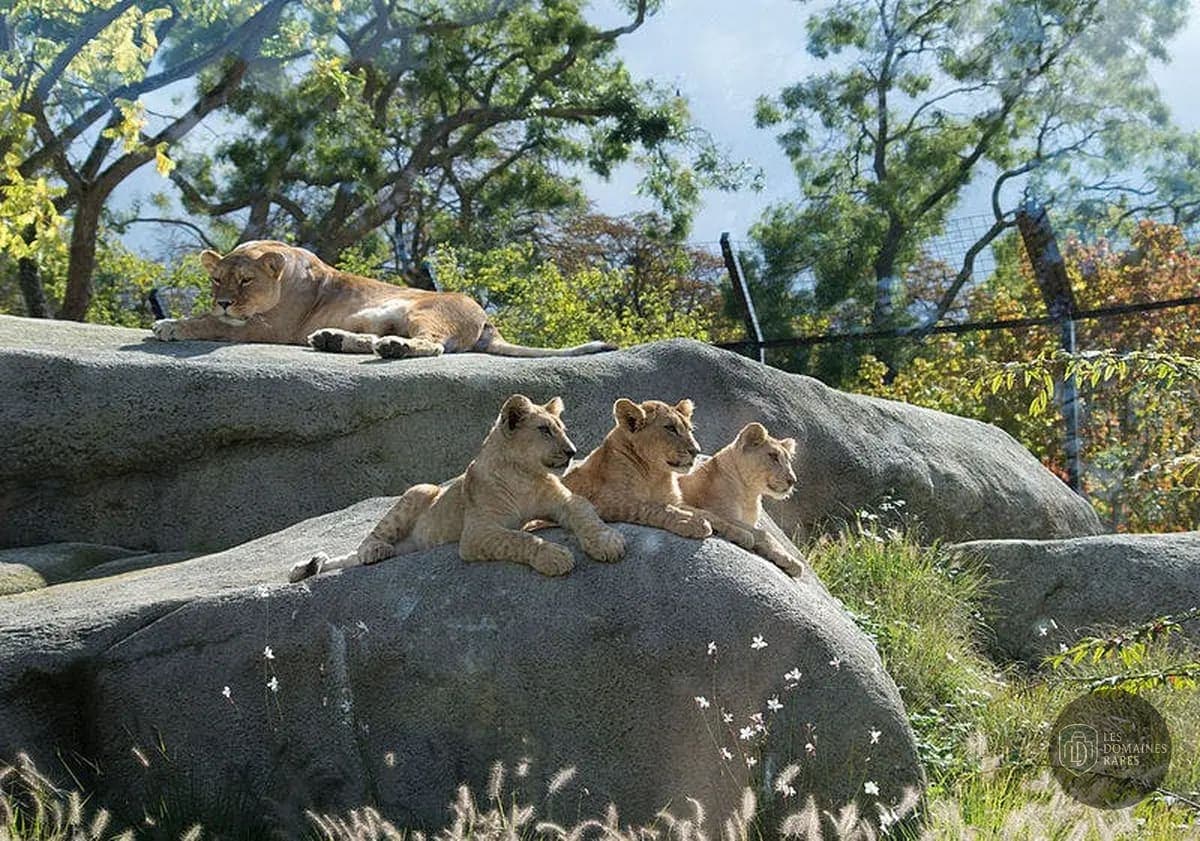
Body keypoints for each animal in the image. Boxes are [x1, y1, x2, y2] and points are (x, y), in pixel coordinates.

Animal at [151, 241, 614, 359]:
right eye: (216, 282)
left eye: (245, 281)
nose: (225, 302)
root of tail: (487, 319)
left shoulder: (271, 326)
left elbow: (209, 324)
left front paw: (169, 325)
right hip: (381, 316)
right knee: (376, 339)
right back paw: (332, 339)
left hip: (424, 311)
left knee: (431, 346)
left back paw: (391, 348)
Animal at [288, 394, 625, 582]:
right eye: (544, 430)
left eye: (563, 429)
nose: (571, 451)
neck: (525, 475)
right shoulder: (477, 532)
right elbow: (520, 539)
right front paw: (554, 557)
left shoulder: (564, 501)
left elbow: (585, 513)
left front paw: (608, 542)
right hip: (421, 489)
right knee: (365, 544)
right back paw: (375, 551)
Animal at [560, 398, 755, 549]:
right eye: (670, 428)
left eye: (689, 429)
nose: (696, 451)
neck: (656, 474)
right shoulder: (602, 502)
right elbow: (653, 507)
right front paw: (691, 523)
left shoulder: (676, 501)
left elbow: (708, 513)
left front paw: (742, 533)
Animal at [679, 422, 805, 577]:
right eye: (773, 456)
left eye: (788, 460)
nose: (792, 480)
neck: (750, 494)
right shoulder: (721, 512)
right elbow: (764, 533)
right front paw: (790, 561)